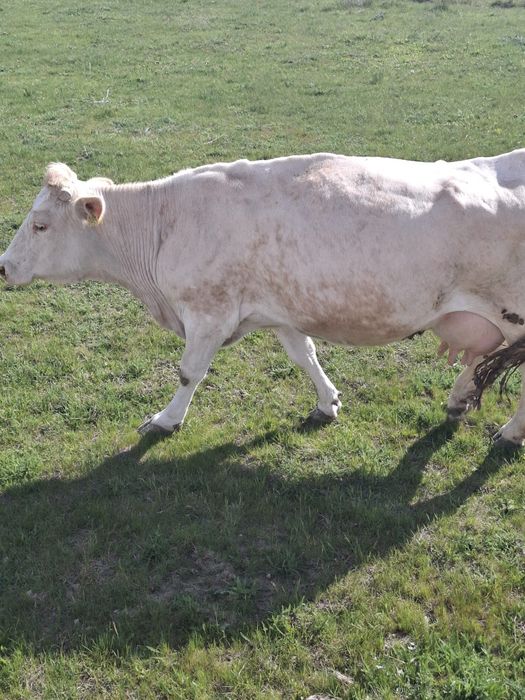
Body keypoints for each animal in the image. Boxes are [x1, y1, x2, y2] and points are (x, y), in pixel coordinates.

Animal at [1, 150, 525, 444]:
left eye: (41, 225)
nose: (4, 265)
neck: (166, 224)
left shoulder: (208, 313)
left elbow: (189, 372)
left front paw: (166, 419)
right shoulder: (280, 310)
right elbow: (304, 355)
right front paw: (328, 402)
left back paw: (509, 432)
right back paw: (459, 399)